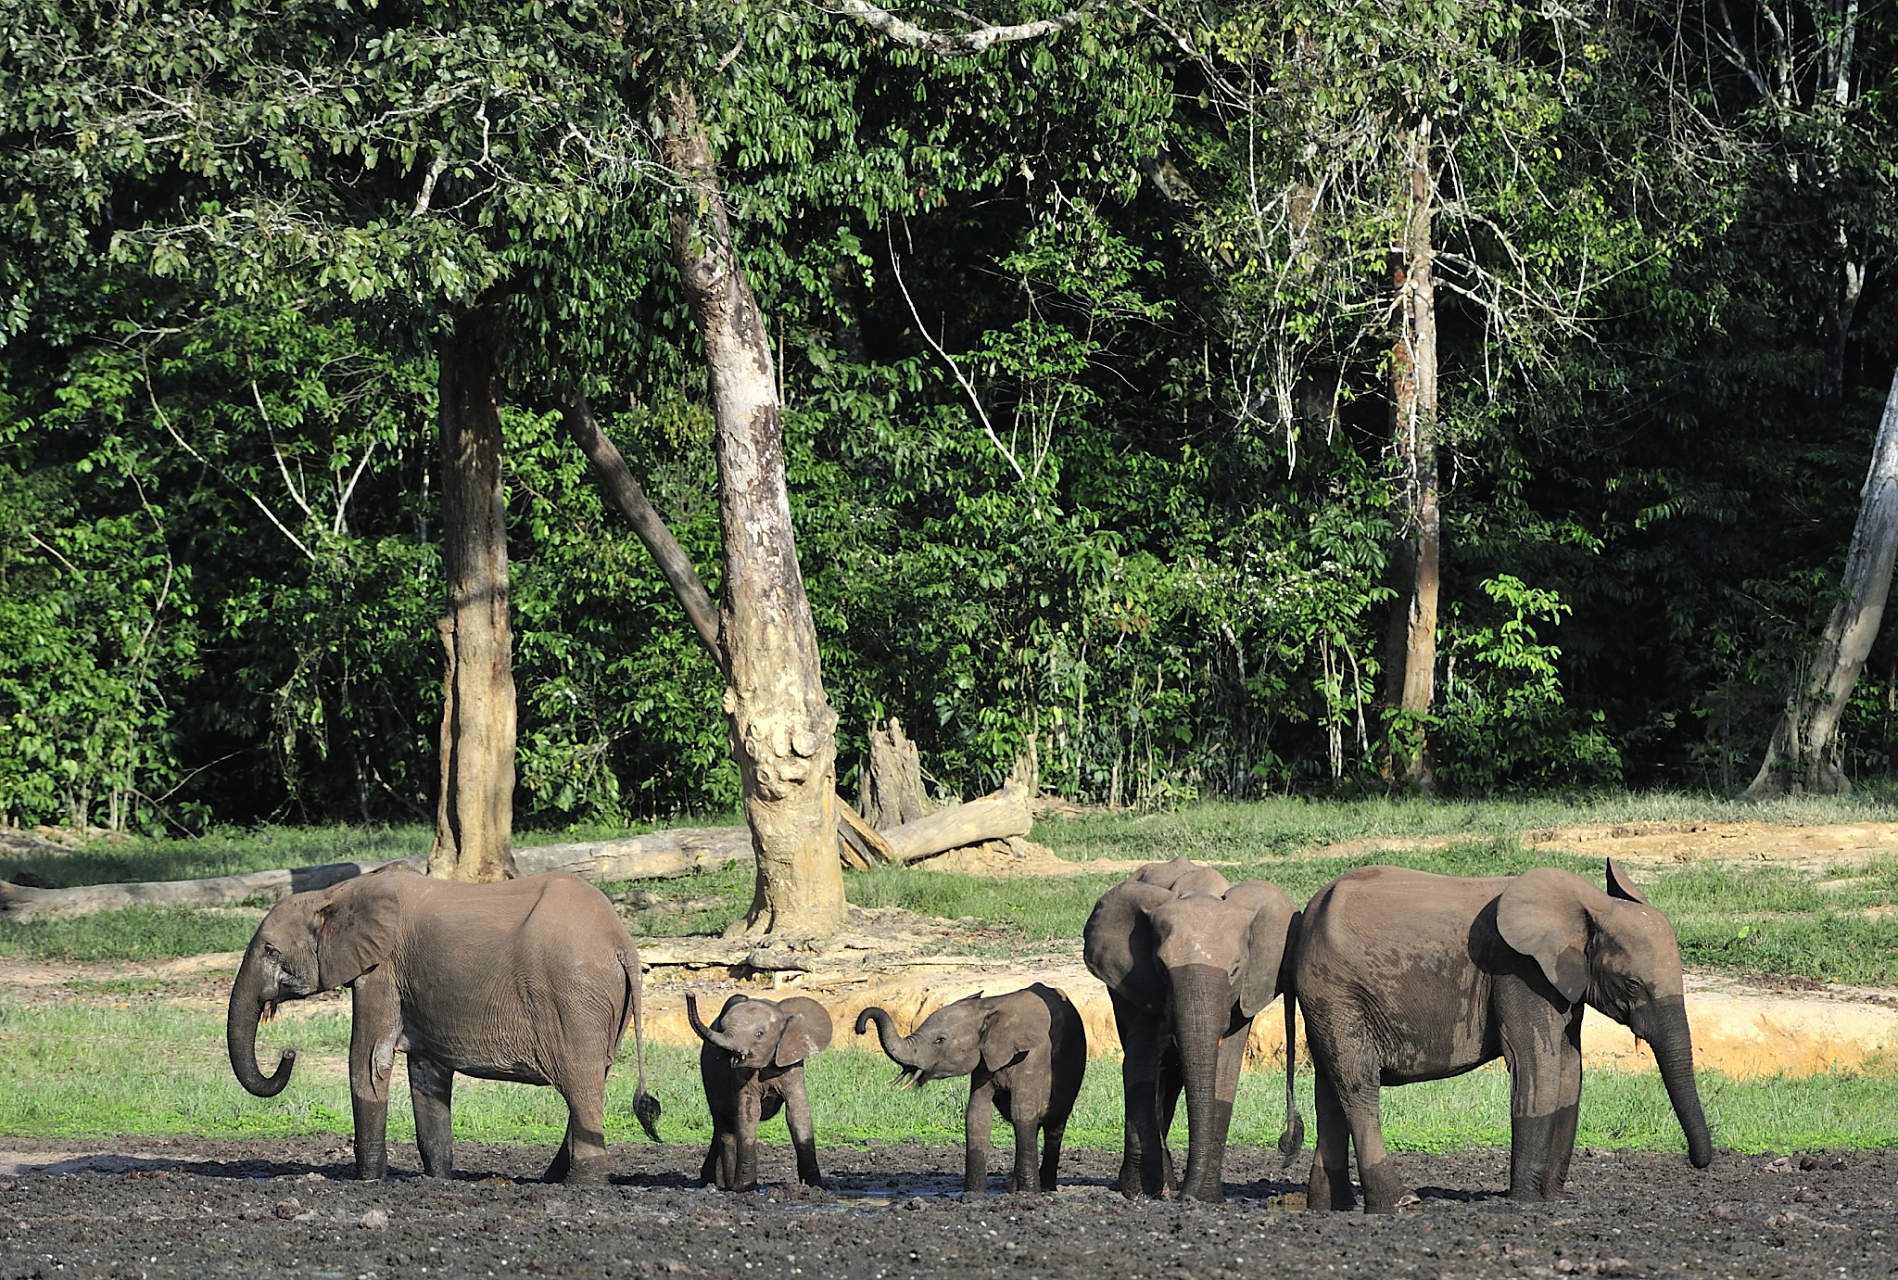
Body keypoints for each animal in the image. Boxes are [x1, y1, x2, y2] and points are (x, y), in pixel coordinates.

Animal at [227, 862, 662, 1184]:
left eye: (270, 951)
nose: (288, 1053)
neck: (336, 893)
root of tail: (621, 942)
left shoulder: (382, 971)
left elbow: (369, 1062)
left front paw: (368, 1181)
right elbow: (426, 1074)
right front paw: (438, 1178)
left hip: (573, 998)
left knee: (580, 1083)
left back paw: (580, 1185)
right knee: (592, 1080)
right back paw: (551, 1179)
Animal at [686, 992, 832, 1191]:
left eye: (759, 1034)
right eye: (722, 1027)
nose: (690, 994)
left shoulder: (791, 1063)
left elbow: (797, 1112)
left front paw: (815, 1186)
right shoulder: (741, 1073)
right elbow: (749, 1112)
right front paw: (745, 1188)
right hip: (708, 1076)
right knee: (725, 1126)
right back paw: (726, 1185)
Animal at [855, 984, 1085, 1194]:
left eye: (940, 1040)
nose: (860, 1028)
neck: (988, 1007)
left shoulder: (1034, 1055)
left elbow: (1023, 1111)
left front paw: (1029, 1195)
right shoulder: (982, 1059)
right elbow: (977, 1115)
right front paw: (973, 1196)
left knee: (1053, 1124)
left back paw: (1045, 1189)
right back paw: (1013, 1190)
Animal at [1083, 857, 1302, 1202]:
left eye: (1235, 969)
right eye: (1162, 967)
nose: (1185, 1198)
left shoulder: (1242, 996)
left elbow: (1224, 1074)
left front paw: (1205, 1197)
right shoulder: (1144, 981)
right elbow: (1139, 1068)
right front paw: (1141, 1191)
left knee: (1172, 1078)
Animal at [1293, 859, 1713, 1213]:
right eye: (1631, 985)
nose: (1698, 1163)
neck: (1587, 904)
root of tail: (1310, 911)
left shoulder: (1561, 981)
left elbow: (1568, 1073)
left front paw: (1554, 1199)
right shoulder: (1520, 971)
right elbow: (1538, 1067)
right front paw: (1525, 1202)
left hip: (1327, 1000)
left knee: (1330, 1090)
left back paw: (1330, 1208)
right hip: (1337, 991)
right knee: (1358, 1084)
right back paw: (1399, 1203)